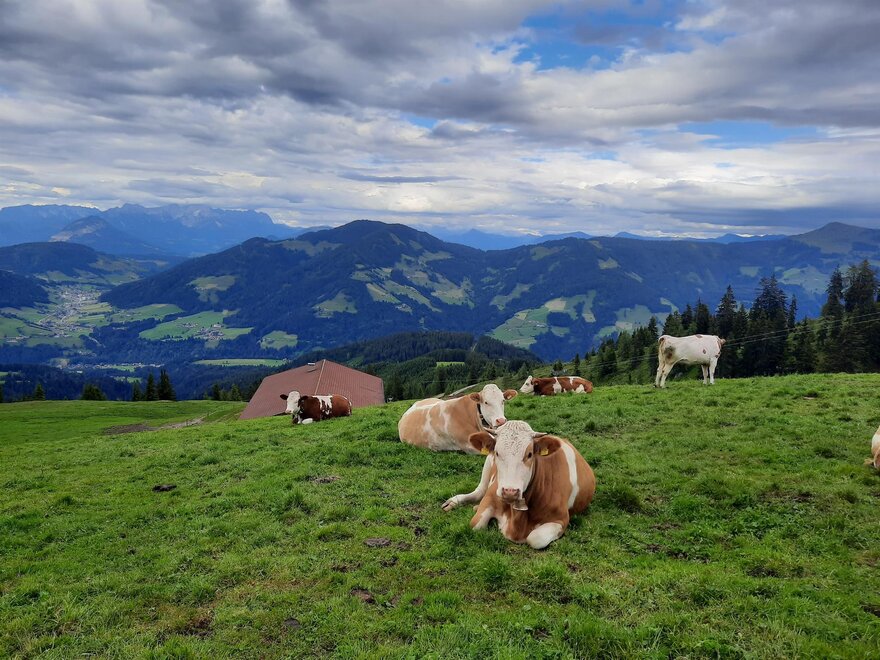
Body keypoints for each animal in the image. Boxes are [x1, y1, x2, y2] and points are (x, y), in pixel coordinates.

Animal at [441, 420, 595, 549]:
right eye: (497, 452)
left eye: (530, 454)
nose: (510, 491)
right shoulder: (491, 495)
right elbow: (476, 525)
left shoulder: (561, 519)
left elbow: (535, 539)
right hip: (487, 467)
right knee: (478, 491)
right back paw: (455, 502)